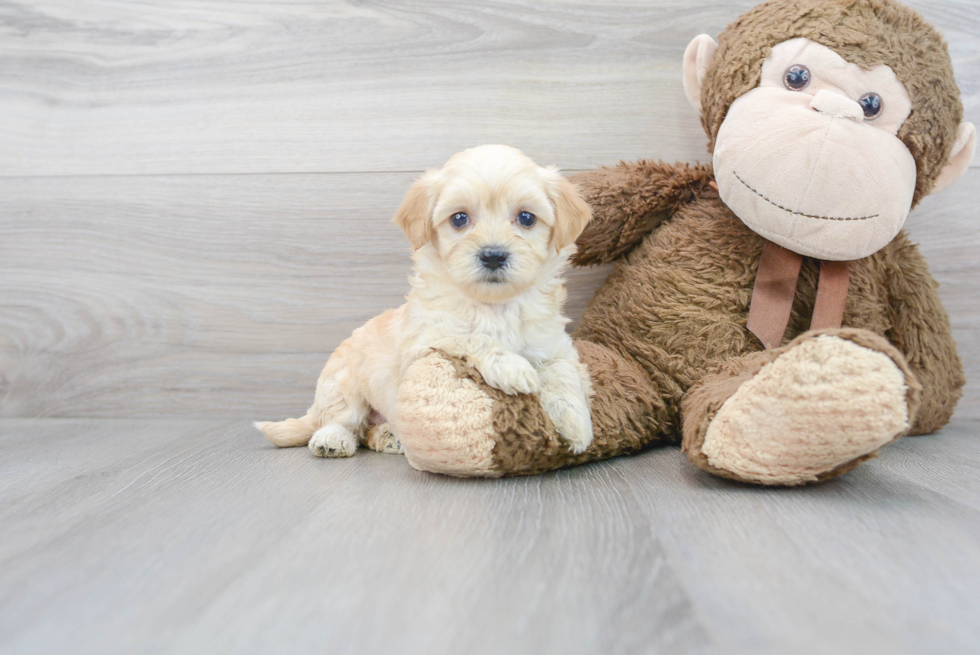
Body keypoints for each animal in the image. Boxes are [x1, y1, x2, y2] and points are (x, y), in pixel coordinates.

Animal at [256, 146, 592, 458]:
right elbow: (471, 337)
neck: (493, 306)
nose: (493, 255)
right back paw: (332, 439)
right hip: (343, 383)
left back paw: (389, 436)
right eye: (459, 218)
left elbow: (563, 371)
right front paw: (512, 367)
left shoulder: (553, 345)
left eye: (526, 218)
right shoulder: (423, 345)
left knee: (368, 431)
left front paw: (575, 421)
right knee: (344, 419)